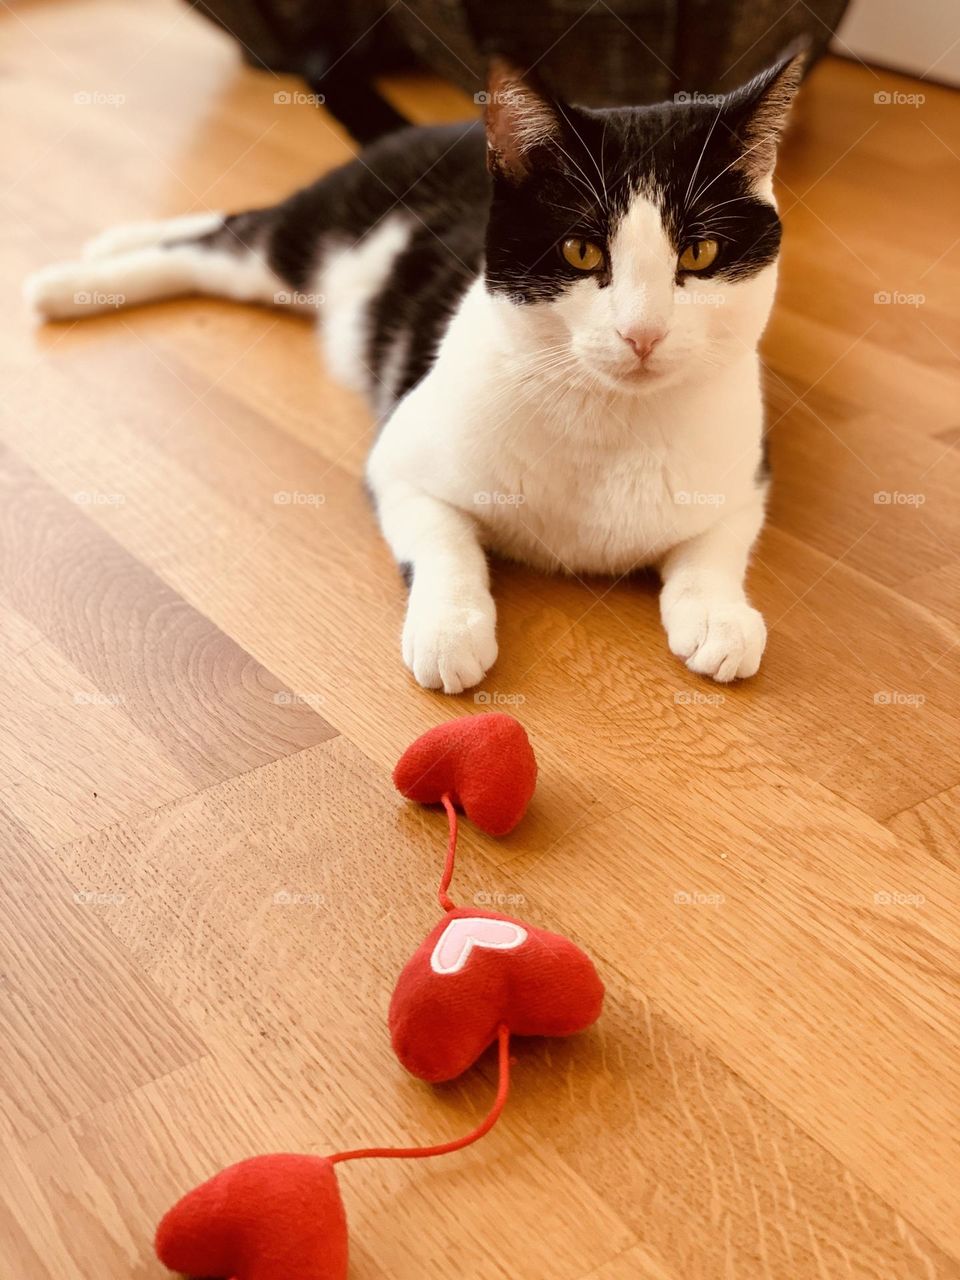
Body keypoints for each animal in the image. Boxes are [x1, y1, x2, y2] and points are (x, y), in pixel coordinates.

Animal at [22, 52, 808, 691]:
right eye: (582, 252)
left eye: (700, 254)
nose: (642, 333)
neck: (607, 423)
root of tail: (451, 128)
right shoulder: (398, 462)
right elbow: (444, 541)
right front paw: (450, 630)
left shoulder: (747, 473)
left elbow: (719, 544)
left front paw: (720, 618)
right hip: (309, 243)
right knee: (229, 236)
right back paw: (77, 277)